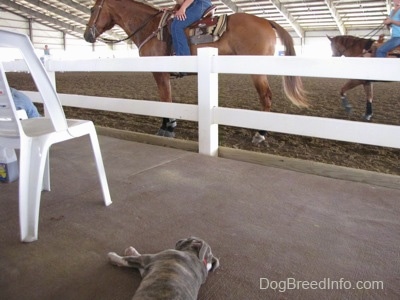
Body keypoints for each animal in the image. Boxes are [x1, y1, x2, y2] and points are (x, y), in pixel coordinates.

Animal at [84, 0, 308, 144]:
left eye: (93, 9)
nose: (87, 36)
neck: (151, 28)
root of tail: (266, 21)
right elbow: (168, 98)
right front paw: (171, 124)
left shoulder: (159, 71)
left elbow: (165, 99)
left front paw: (166, 128)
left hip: (256, 70)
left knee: (266, 97)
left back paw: (260, 134)